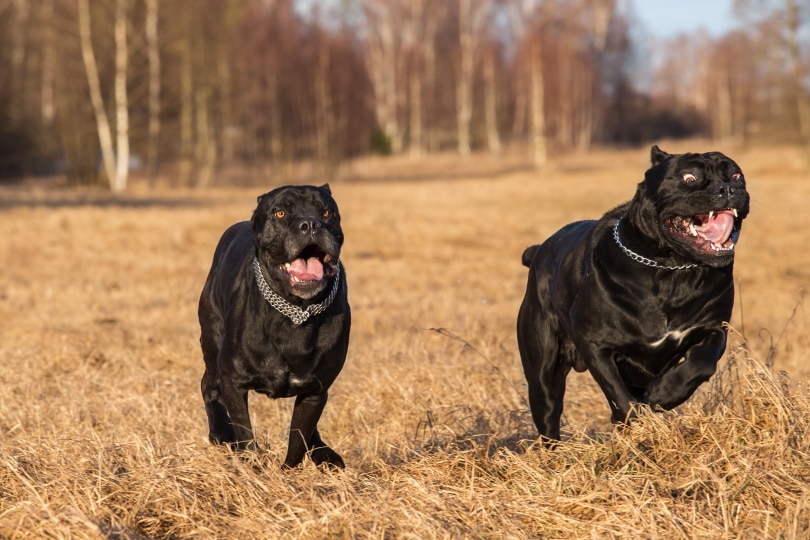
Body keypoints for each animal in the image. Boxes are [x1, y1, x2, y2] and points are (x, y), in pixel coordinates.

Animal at [200, 182, 350, 468]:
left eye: (327, 212)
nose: (310, 224)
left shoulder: (315, 391)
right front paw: (251, 465)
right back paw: (221, 433)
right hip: (212, 342)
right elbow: (245, 433)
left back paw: (325, 454)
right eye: (280, 213)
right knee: (208, 385)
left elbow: (298, 439)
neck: (296, 310)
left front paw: (286, 472)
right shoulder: (232, 380)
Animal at [516, 146, 748, 440]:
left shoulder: (714, 328)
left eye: (737, 175)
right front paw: (641, 419)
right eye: (689, 178)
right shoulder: (594, 342)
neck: (672, 270)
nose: (727, 188)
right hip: (543, 372)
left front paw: (665, 393)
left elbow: (701, 362)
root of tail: (538, 251)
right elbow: (618, 395)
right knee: (548, 416)